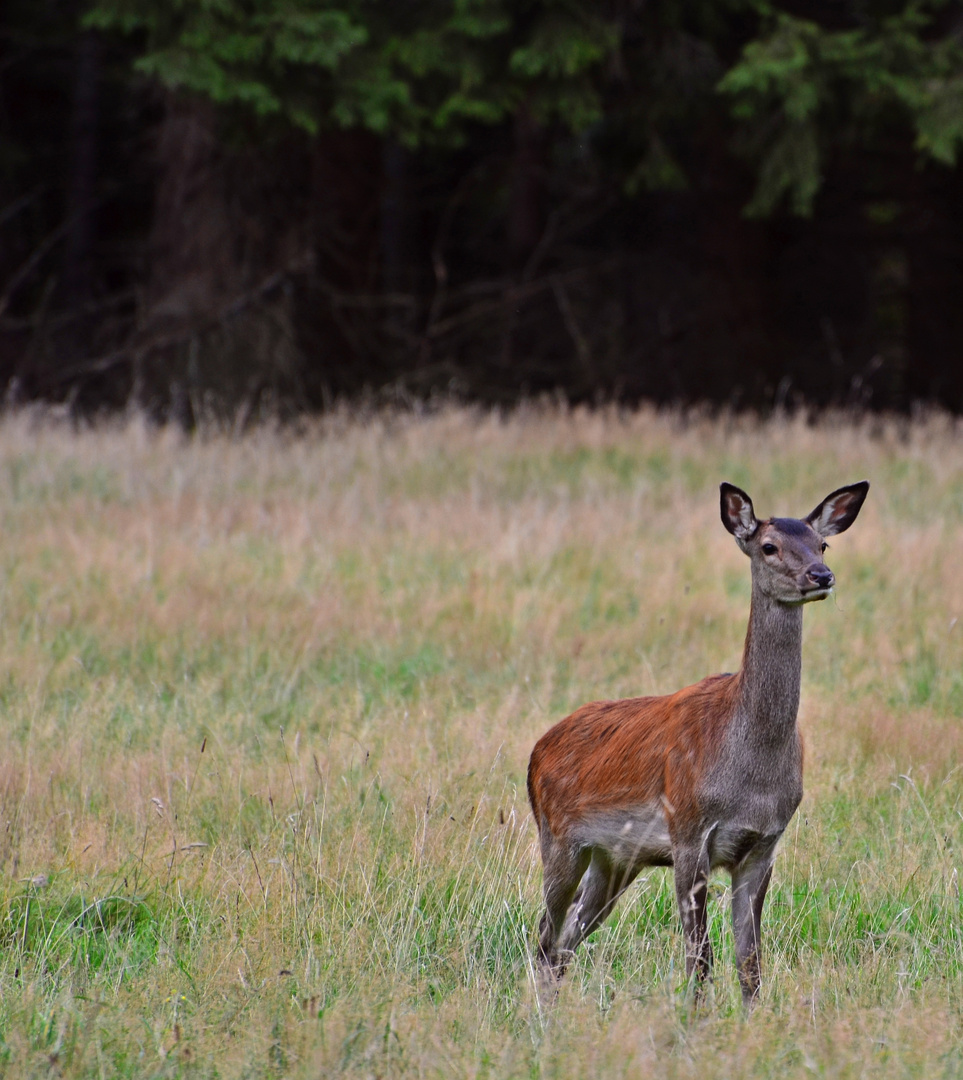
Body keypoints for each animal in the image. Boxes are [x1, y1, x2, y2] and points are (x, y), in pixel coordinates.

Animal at [531, 479, 867, 1002]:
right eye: (768, 546)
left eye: (823, 543)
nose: (821, 575)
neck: (750, 770)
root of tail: (535, 752)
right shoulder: (689, 830)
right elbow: (700, 959)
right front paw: (695, 1019)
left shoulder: (763, 844)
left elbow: (750, 963)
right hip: (558, 838)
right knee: (544, 940)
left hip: (614, 859)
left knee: (563, 945)